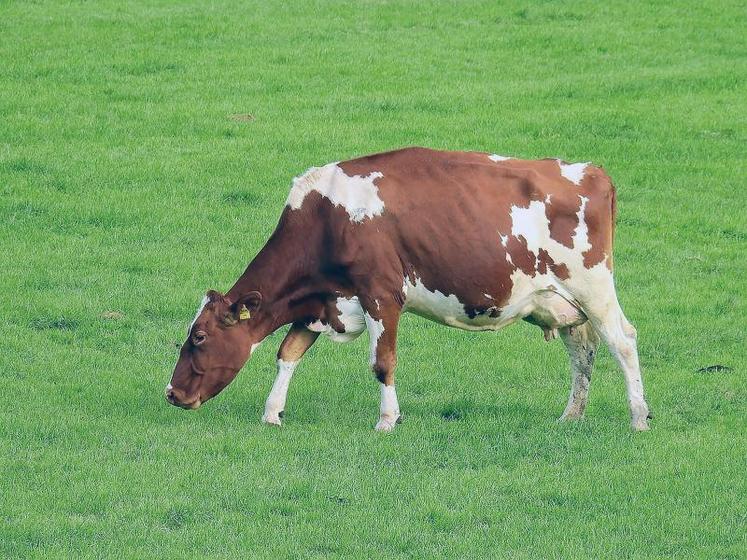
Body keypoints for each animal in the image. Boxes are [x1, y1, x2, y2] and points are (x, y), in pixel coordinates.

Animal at [167, 147, 652, 430]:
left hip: (593, 287)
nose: (172, 393)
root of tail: (592, 172)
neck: (326, 214)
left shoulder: (381, 294)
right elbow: (288, 353)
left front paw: (387, 420)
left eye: (200, 337)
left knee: (622, 341)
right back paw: (571, 416)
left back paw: (638, 417)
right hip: (561, 302)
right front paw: (272, 413)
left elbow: (382, 363)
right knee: (583, 350)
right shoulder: (324, 302)